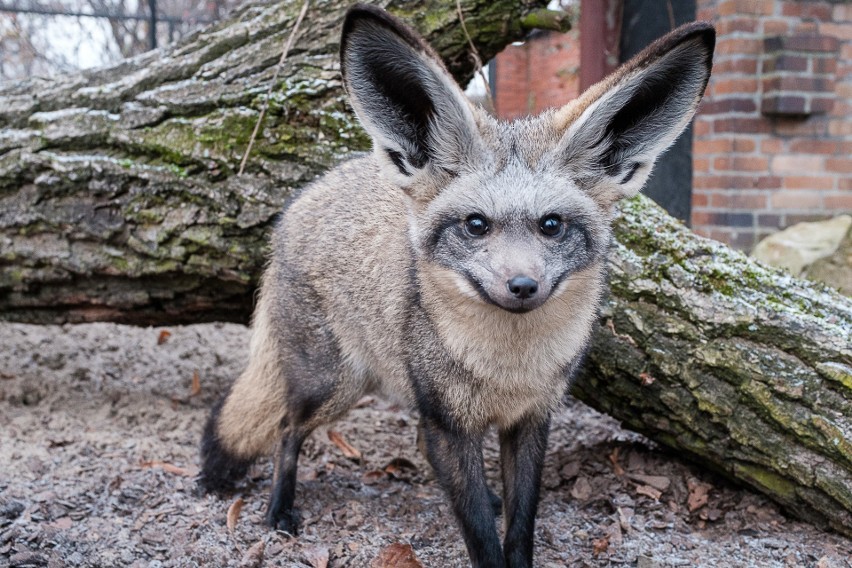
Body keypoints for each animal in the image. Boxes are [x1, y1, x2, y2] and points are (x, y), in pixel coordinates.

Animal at [200, 5, 712, 568]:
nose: (522, 285)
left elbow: (519, 525)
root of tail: (303, 197)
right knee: (286, 431)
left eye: (551, 225)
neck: (507, 372)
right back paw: (279, 511)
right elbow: (480, 535)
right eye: (476, 225)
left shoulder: (531, 421)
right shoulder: (450, 422)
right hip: (333, 385)